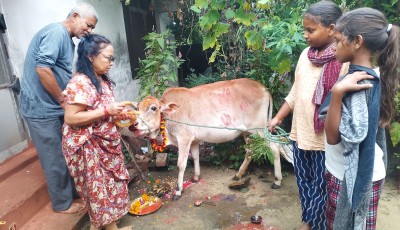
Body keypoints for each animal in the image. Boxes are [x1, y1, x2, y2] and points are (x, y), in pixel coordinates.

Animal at [130, 78, 286, 199]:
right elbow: (195, 157)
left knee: (275, 148)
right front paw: (196, 177)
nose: (134, 125)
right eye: (137, 108)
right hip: (247, 132)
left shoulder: (184, 138)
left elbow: (181, 164)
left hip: (259, 130)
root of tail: (263, 88)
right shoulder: (194, 140)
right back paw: (238, 175)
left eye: (153, 108)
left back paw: (277, 181)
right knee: (250, 151)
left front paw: (178, 190)